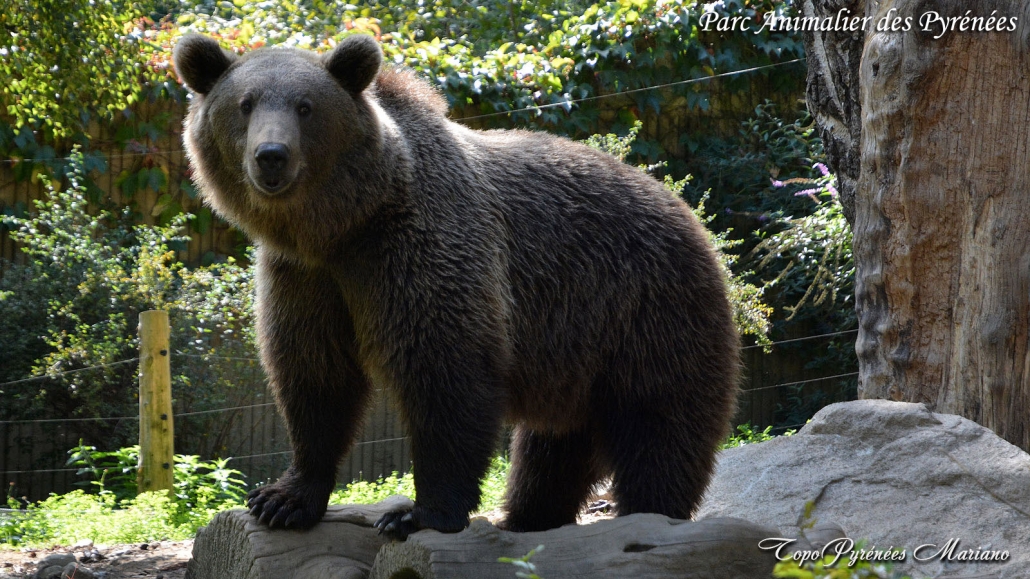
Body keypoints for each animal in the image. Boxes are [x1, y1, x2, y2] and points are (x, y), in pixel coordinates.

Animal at [173, 31, 737, 535]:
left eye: (306, 106)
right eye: (245, 104)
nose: (271, 155)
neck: (344, 225)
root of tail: (690, 217)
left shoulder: (420, 247)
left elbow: (444, 371)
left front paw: (416, 514)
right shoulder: (308, 277)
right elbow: (314, 373)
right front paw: (283, 499)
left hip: (646, 309)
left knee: (659, 427)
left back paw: (650, 513)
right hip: (578, 355)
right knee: (550, 450)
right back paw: (528, 518)